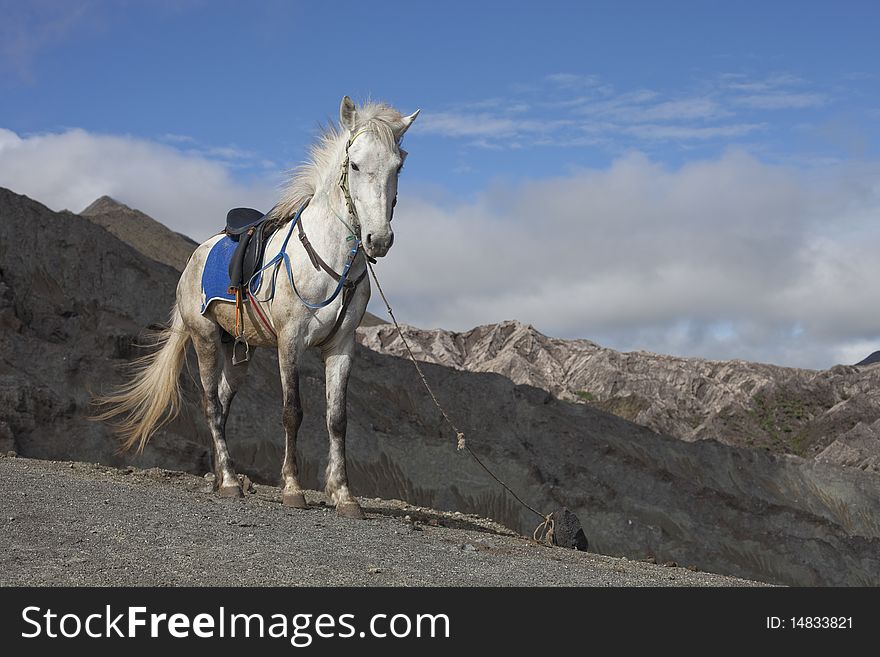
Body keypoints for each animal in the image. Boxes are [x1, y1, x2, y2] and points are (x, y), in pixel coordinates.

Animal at [98, 96, 422, 516]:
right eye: (354, 164)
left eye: (397, 166)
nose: (378, 240)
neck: (328, 260)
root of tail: (195, 257)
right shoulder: (290, 341)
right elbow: (292, 412)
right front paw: (293, 488)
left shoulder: (341, 347)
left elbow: (337, 419)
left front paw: (344, 495)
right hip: (204, 338)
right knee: (210, 405)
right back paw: (230, 482)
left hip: (239, 352)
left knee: (222, 403)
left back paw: (221, 477)